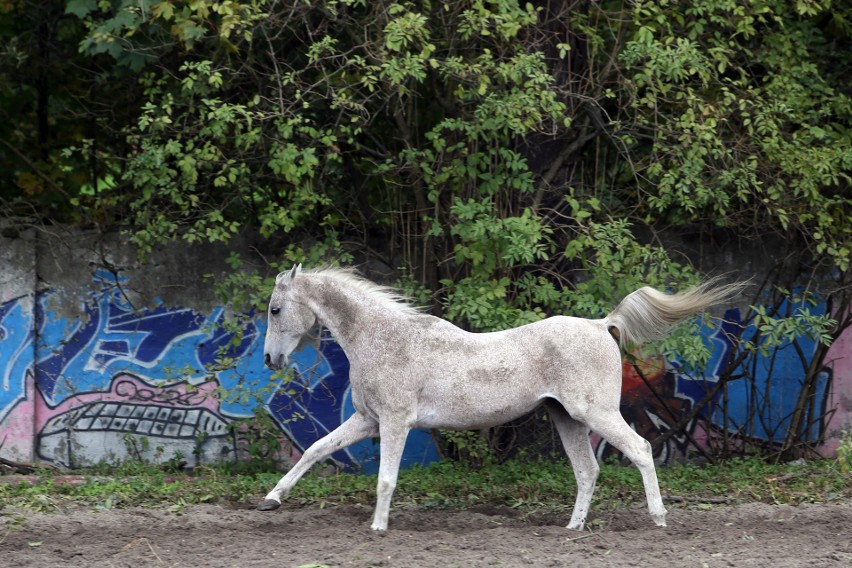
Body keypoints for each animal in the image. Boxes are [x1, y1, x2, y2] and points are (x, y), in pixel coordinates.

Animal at [258, 264, 740, 532]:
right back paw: (573, 527)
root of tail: (601, 324)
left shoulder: (394, 422)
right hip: (567, 419)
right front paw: (272, 499)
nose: (269, 358)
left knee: (639, 450)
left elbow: (385, 479)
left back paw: (658, 519)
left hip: (596, 413)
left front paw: (377, 527)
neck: (382, 337)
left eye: (276, 309)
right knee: (588, 471)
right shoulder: (367, 420)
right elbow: (316, 449)